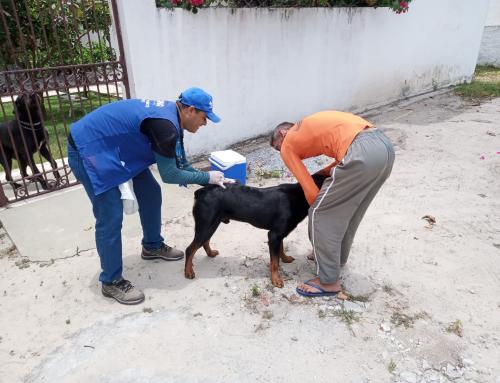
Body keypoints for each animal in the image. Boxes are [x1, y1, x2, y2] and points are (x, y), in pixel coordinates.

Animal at [186, 174, 326, 288]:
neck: (299, 195)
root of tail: (201, 191)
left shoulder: (278, 235)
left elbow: (280, 250)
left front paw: (285, 258)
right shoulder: (274, 235)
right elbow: (274, 262)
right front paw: (275, 279)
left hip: (211, 224)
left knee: (205, 241)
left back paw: (210, 253)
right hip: (206, 224)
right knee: (190, 249)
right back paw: (188, 271)